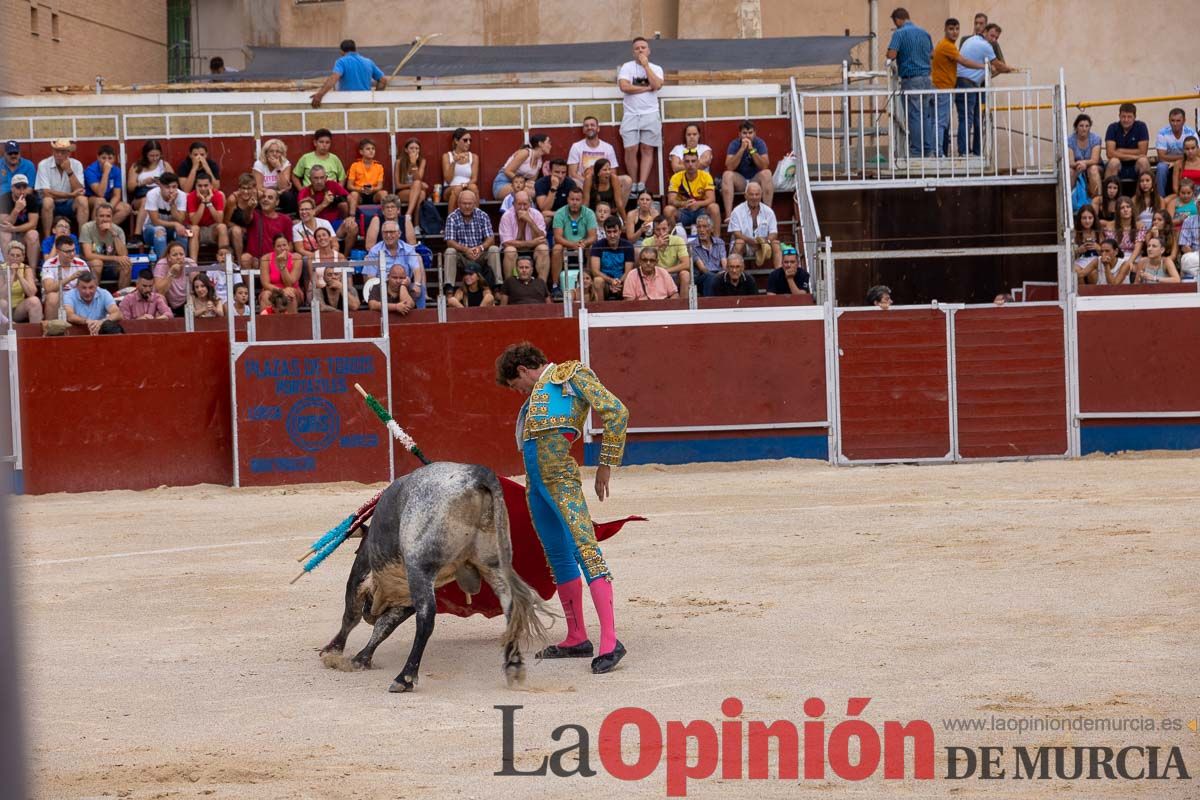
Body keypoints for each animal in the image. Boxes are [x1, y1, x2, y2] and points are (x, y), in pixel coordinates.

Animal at [314, 462, 549, 695]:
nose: (370, 612)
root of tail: (477, 475)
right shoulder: (406, 599)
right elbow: (384, 626)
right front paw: (361, 658)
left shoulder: (363, 576)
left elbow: (352, 615)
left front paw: (332, 651)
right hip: (494, 564)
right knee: (510, 607)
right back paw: (514, 666)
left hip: (420, 566)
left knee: (426, 618)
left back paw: (404, 678)